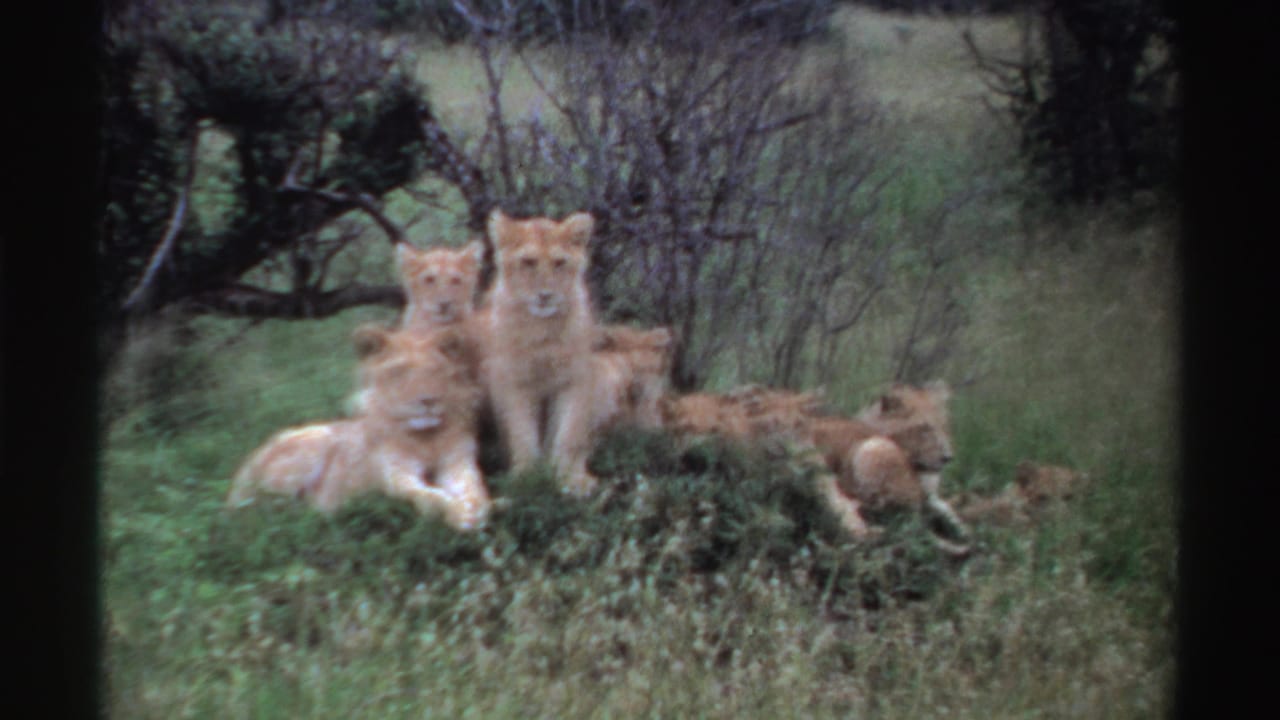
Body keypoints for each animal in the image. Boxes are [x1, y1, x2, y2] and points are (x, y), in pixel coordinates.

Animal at [226, 325, 492, 530]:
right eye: (398, 371)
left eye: (436, 370)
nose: (428, 400)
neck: (425, 438)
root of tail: (252, 458)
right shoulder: (396, 474)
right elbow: (428, 495)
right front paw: (460, 513)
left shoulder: (458, 462)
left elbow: (473, 487)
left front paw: (480, 507)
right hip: (310, 448)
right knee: (262, 510)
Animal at [481, 208, 601, 496]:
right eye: (528, 262)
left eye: (559, 263)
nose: (545, 296)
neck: (542, 330)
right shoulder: (513, 381)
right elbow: (522, 432)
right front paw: (526, 478)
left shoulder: (576, 378)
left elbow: (569, 432)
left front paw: (570, 478)